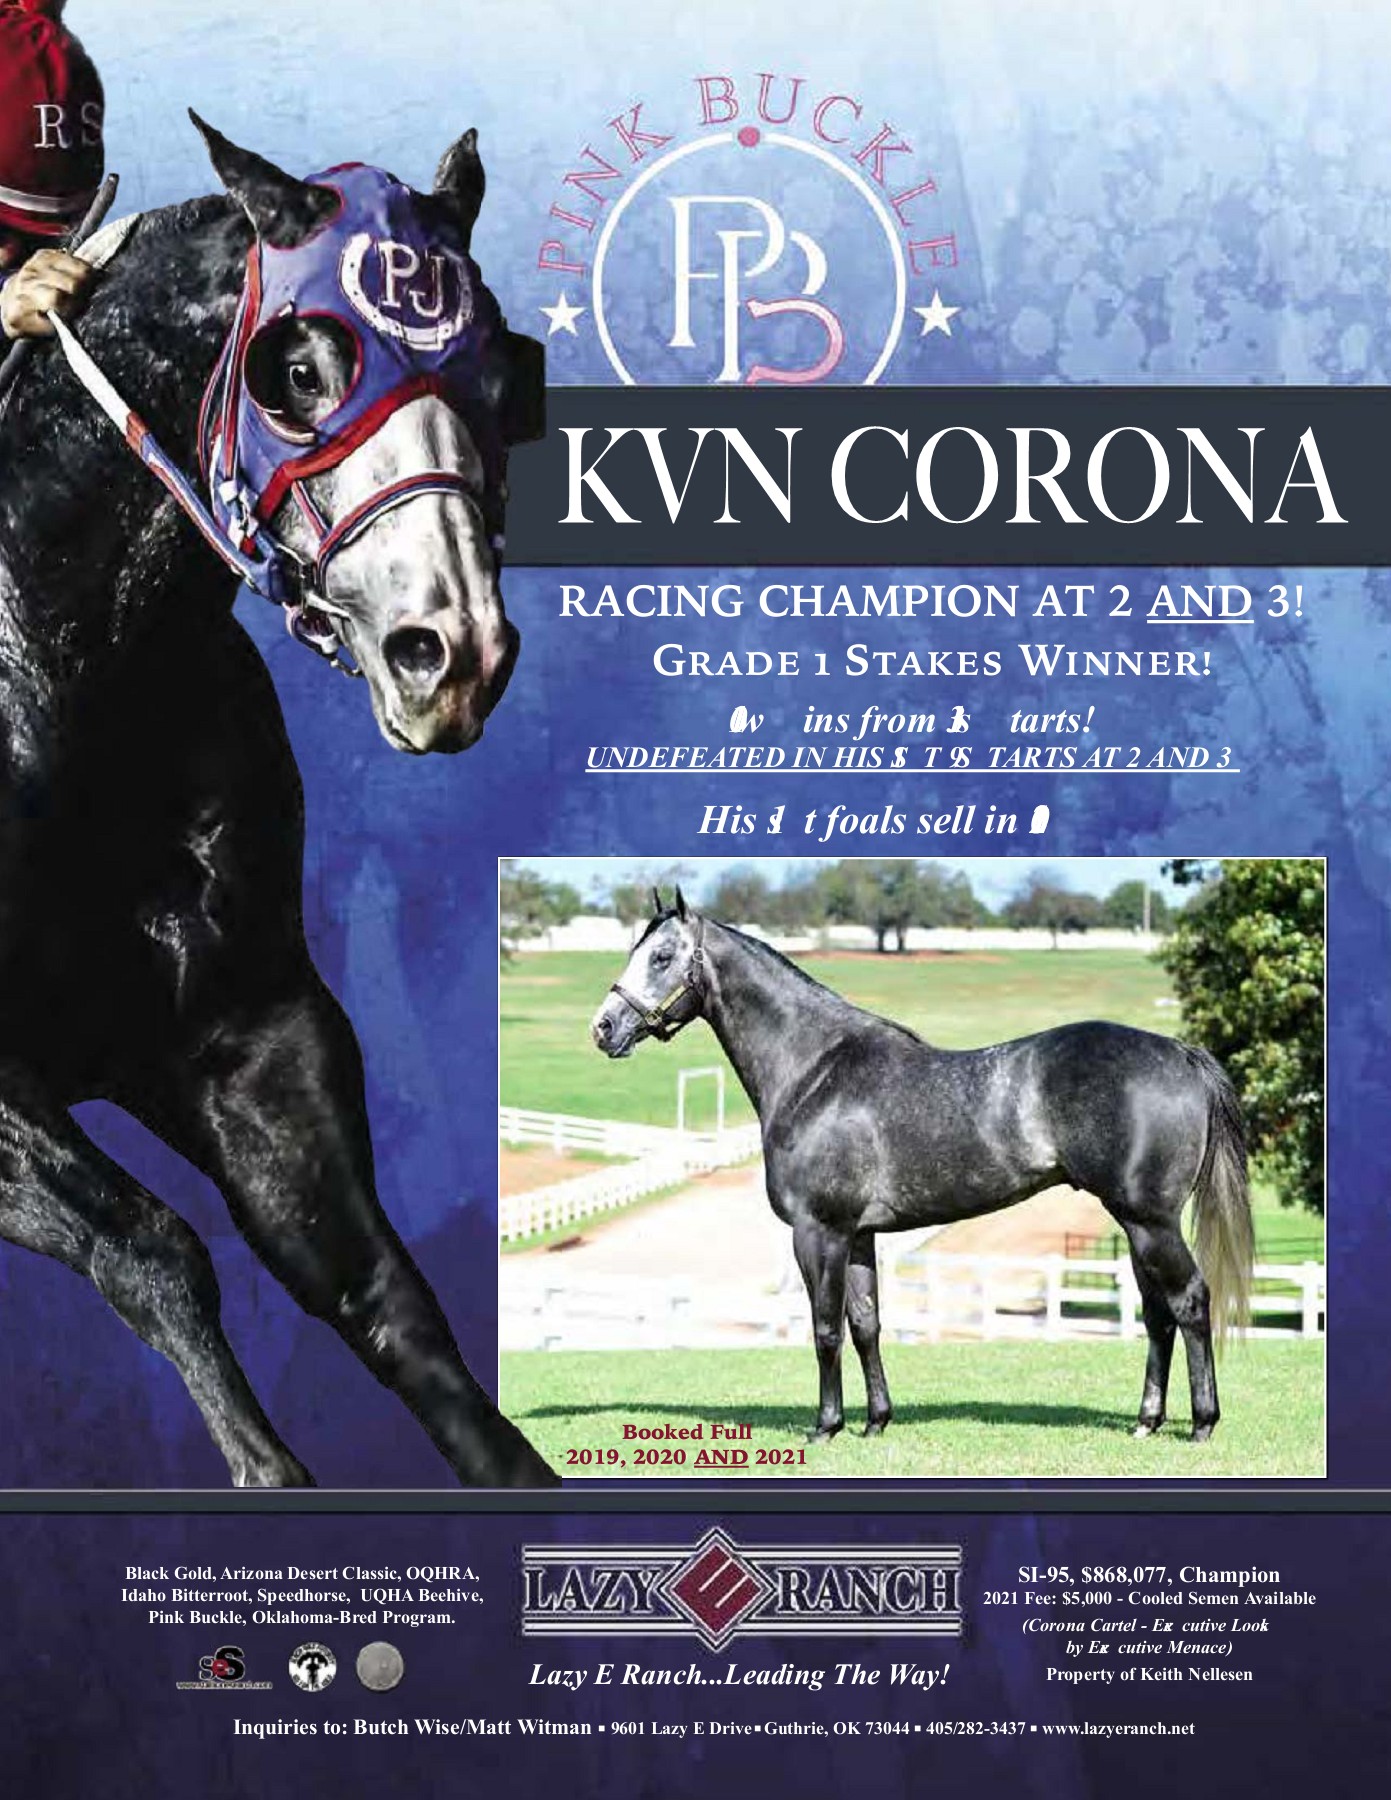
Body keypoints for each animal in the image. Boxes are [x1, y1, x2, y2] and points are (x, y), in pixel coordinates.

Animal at [0, 116, 555, 1487]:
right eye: (295, 369)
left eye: (500, 371)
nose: (448, 653)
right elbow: (150, 1244)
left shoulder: (251, 1033)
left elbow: (377, 1292)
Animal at [591, 893, 1254, 1446]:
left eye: (663, 956)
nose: (604, 1028)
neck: (813, 1071)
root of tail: (1180, 1053)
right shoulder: (858, 1236)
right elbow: (866, 1324)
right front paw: (875, 1422)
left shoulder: (818, 1232)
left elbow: (825, 1327)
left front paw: (826, 1427)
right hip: (1134, 1222)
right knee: (1157, 1314)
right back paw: (1146, 1422)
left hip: (1150, 1221)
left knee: (1190, 1301)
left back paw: (1202, 1424)